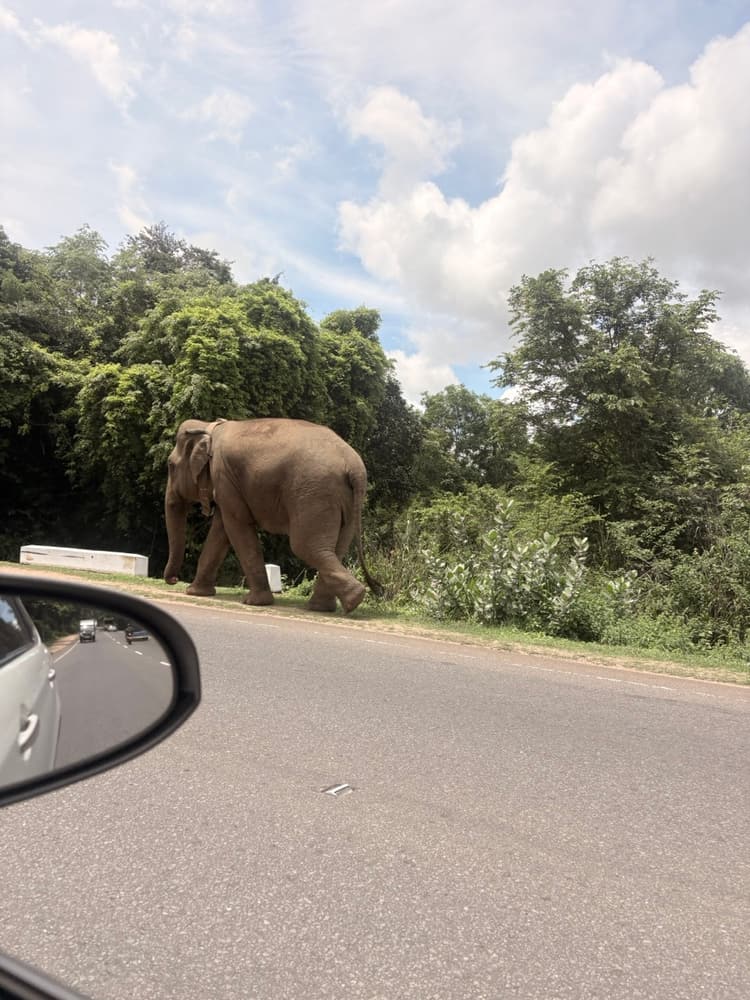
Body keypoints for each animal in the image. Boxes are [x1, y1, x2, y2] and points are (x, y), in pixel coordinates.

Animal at [163, 417, 383, 613]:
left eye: (170, 466)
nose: (173, 580)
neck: (210, 426)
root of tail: (355, 468)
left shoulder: (223, 477)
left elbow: (236, 527)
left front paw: (254, 603)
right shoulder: (228, 485)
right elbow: (222, 530)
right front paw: (196, 592)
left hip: (314, 494)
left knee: (306, 547)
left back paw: (350, 600)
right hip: (345, 501)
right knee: (335, 548)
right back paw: (327, 606)